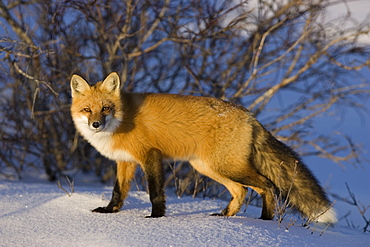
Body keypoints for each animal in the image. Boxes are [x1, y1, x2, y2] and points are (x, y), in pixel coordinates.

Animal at [70, 72, 338, 224]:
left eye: (106, 108)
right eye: (87, 109)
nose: (96, 124)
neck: (122, 120)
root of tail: (250, 116)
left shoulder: (150, 156)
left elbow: (155, 193)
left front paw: (155, 219)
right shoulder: (125, 162)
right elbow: (118, 192)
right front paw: (109, 212)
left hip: (226, 167)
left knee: (267, 185)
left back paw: (266, 221)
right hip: (209, 168)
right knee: (241, 191)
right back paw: (226, 217)